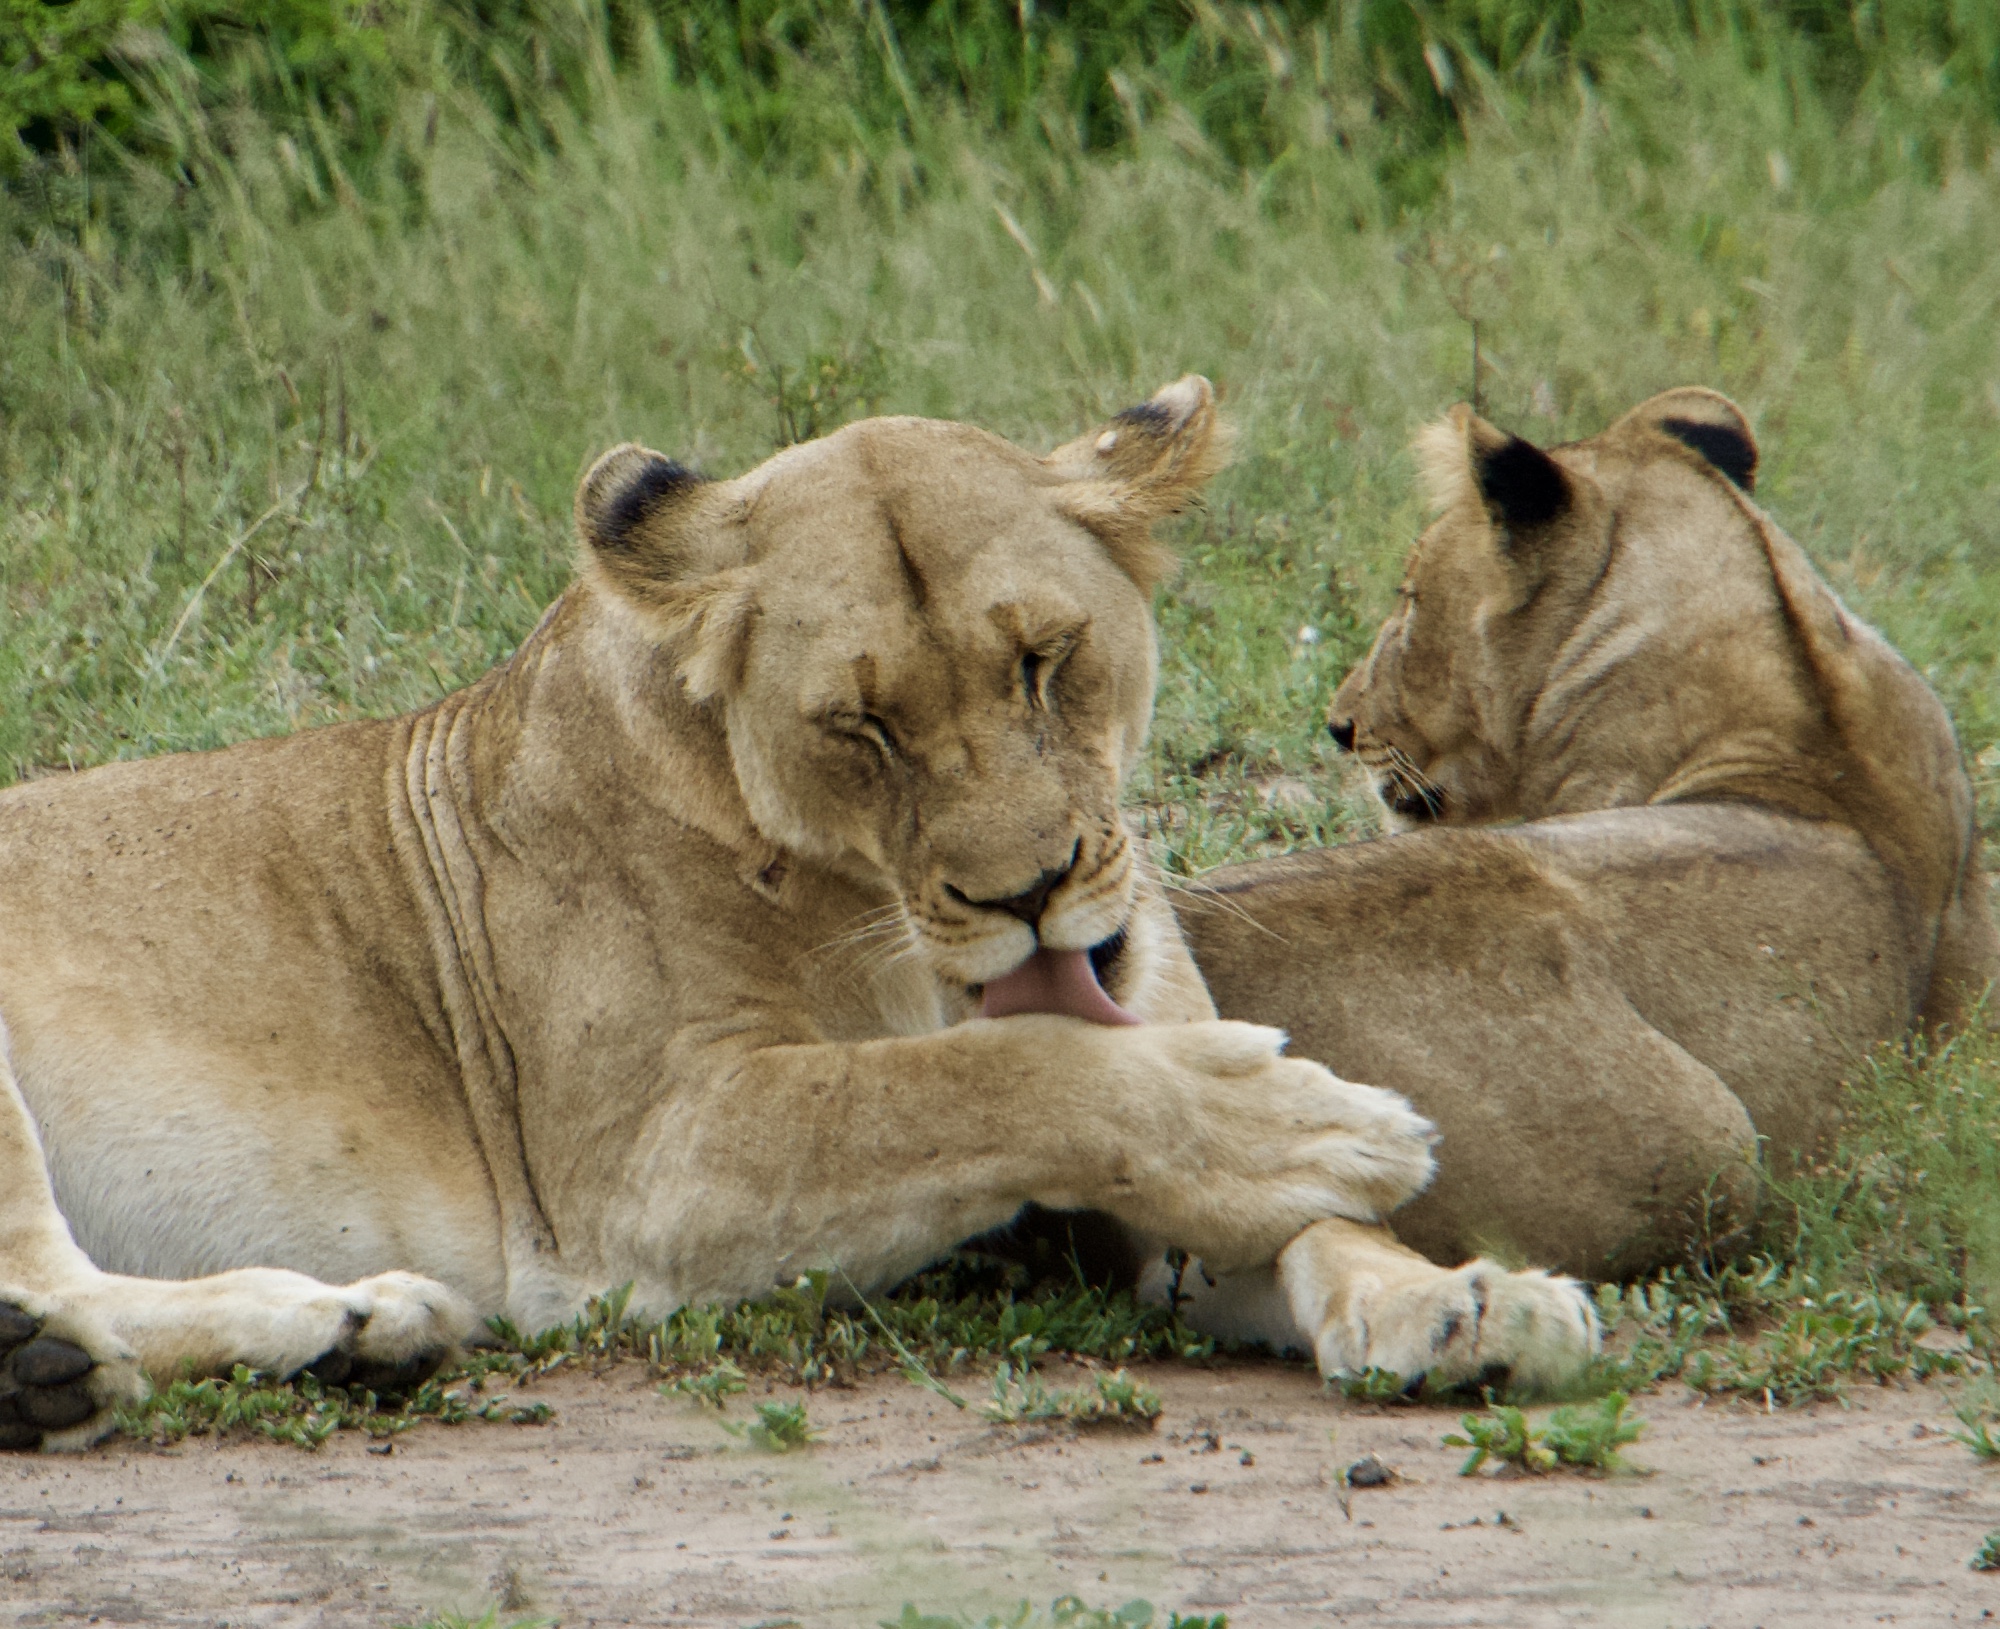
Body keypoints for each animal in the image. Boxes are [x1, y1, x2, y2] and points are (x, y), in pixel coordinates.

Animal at [0, 377, 1596, 1450]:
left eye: (1044, 660)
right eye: (861, 727)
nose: (1028, 894)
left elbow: (1308, 1228)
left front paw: (1466, 1299)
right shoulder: (641, 1174)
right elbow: (981, 1076)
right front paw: (1312, 1121)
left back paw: (310, 1340)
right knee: (51, 1271)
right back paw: (248, 1336)